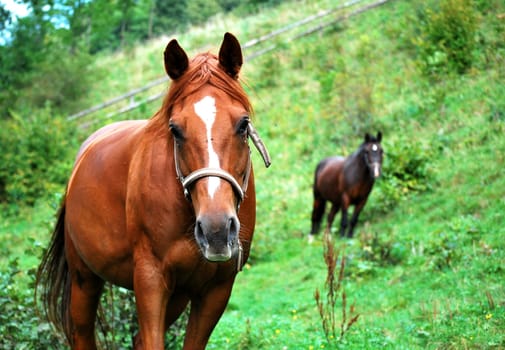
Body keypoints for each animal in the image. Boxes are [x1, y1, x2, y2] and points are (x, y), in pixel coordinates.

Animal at [34, 32, 272, 348]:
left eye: (243, 124)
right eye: (175, 130)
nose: (216, 230)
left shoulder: (215, 289)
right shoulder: (150, 281)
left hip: (177, 294)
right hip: (84, 279)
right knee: (81, 334)